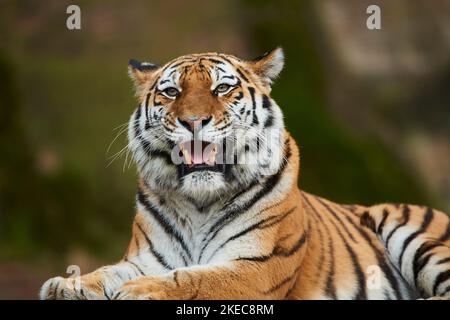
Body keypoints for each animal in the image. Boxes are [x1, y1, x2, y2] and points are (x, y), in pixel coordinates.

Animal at [39, 48, 450, 300]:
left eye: (222, 88)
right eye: (171, 92)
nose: (193, 121)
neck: (198, 202)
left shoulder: (257, 266)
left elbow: (195, 278)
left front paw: (142, 291)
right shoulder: (146, 260)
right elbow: (107, 272)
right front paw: (66, 285)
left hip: (412, 234)